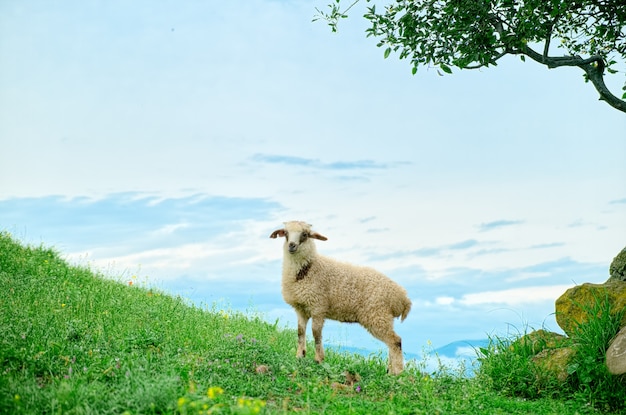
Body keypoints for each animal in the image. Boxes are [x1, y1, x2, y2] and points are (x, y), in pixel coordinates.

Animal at [266, 223, 410, 376]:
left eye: (305, 234)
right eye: (286, 233)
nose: (291, 246)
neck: (308, 269)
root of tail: (402, 297)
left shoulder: (318, 307)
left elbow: (316, 334)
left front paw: (319, 359)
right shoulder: (301, 309)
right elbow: (300, 332)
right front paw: (300, 356)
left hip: (378, 316)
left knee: (395, 341)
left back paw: (397, 373)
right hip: (382, 317)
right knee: (391, 342)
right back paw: (389, 371)